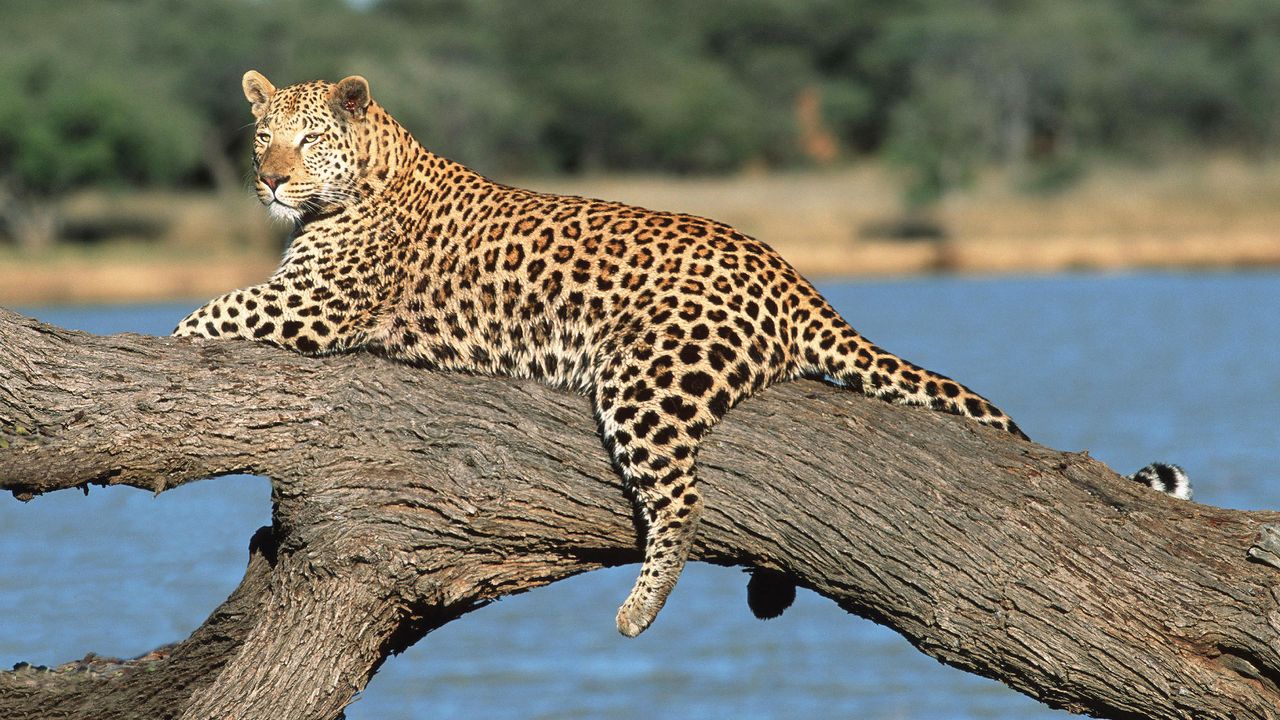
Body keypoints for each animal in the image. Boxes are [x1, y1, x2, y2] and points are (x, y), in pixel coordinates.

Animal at [175, 71, 1191, 637]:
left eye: (308, 140)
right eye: (260, 138)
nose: (270, 179)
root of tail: (791, 274)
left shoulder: (308, 307)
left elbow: (196, 320)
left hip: (647, 376)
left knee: (684, 500)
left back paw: (639, 611)